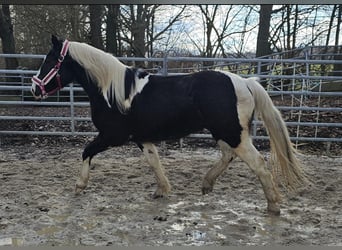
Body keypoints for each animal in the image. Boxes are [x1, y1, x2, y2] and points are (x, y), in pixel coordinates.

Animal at [30, 35, 306, 215]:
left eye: (50, 61)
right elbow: (154, 162)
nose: (34, 89)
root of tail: (245, 82)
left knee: (258, 163)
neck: (112, 91)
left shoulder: (111, 136)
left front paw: (79, 186)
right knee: (229, 156)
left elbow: (86, 151)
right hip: (224, 133)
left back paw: (273, 205)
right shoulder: (142, 138)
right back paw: (207, 184)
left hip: (232, 133)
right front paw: (162, 190)